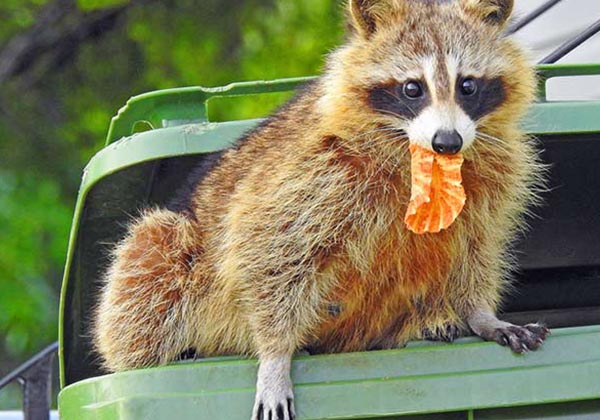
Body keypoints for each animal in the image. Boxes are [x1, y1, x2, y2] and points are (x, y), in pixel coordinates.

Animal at [92, 1, 548, 418]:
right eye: (412, 88)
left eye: (467, 85)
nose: (448, 142)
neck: (420, 155)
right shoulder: (313, 170)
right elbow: (265, 247)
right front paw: (274, 355)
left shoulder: (493, 175)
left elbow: (475, 246)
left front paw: (479, 313)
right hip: (171, 253)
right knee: (151, 257)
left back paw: (427, 322)